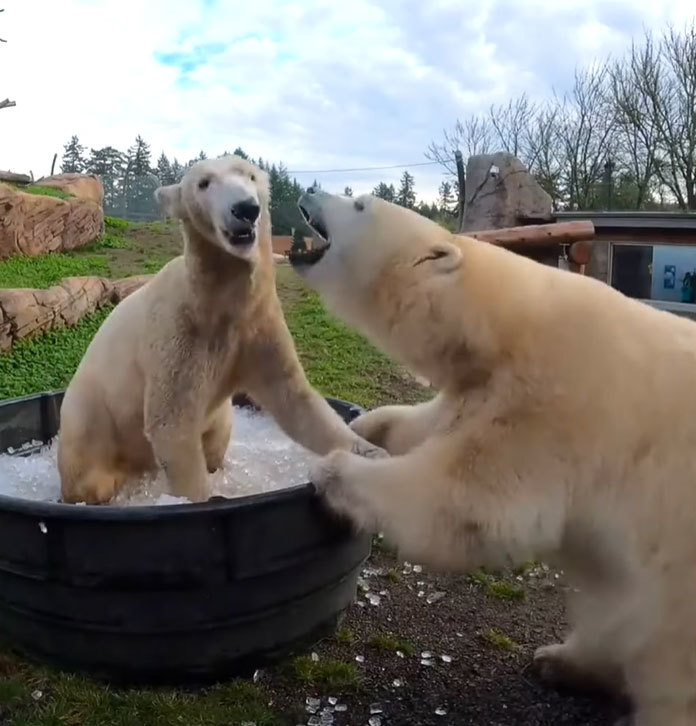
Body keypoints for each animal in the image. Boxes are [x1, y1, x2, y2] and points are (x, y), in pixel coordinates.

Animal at [58, 155, 386, 506]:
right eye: (204, 183)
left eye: (251, 177)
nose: (245, 209)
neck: (219, 303)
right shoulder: (179, 335)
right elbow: (171, 423)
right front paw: (195, 498)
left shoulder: (257, 325)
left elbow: (295, 398)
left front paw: (372, 454)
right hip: (91, 421)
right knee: (89, 474)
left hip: (217, 418)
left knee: (217, 442)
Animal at [290, 186, 696, 726]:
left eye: (360, 205)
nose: (308, 191)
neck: (505, 325)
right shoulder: (481, 386)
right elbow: (426, 425)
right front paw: (360, 427)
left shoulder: (552, 405)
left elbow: (471, 500)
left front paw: (335, 468)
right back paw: (561, 661)